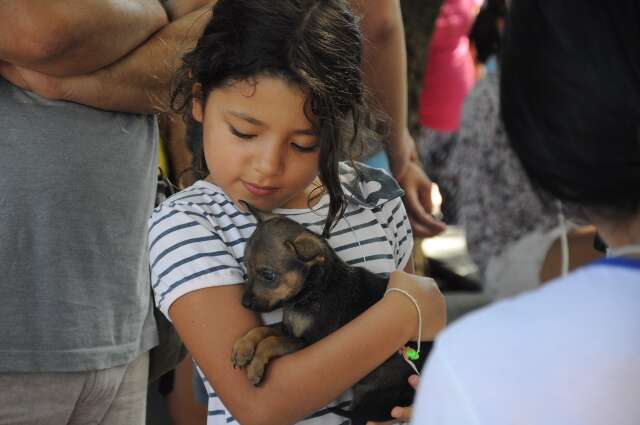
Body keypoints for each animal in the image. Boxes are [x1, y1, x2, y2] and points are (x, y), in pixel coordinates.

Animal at [230, 202, 430, 424]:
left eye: (268, 275)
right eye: (246, 270)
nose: (244, 303)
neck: (313, 291)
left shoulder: (311, 342)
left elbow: (271, 342)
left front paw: (255, 367)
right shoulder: (288, 329)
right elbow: (262, 330)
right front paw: (243, 348)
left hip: (372, 395)